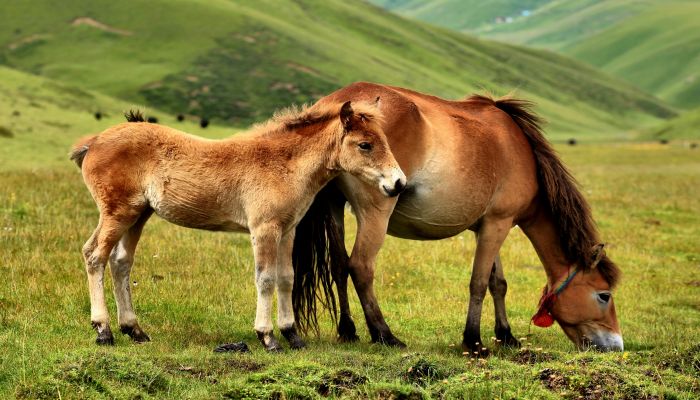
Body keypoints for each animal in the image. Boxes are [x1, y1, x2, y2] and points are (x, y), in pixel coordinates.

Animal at [68, 101, 408, 350]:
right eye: (365, 145)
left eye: (385, 141)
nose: (398, 183)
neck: (283, 164)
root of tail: (93, 142)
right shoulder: (264, 229)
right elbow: (266, 278)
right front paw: (268, 337)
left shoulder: (287, 230)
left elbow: (286, 278)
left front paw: (293, 335)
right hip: (118, 212)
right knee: (94, 255)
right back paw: (104, 331)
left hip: (139, 214)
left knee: (121, 262)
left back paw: (135, 330)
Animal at [292, 81, 624, 354]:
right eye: (604, 295)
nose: (616, 346)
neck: (521, 152)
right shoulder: (498, 224)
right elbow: (479, 282)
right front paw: (473, 341)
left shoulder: (488, 225)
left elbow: (498, 283)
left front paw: (506, 335)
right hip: (376, 211)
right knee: (360, 267)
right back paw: (384, 335)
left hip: (334, 207)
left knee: (339, 267)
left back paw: (348, 331)